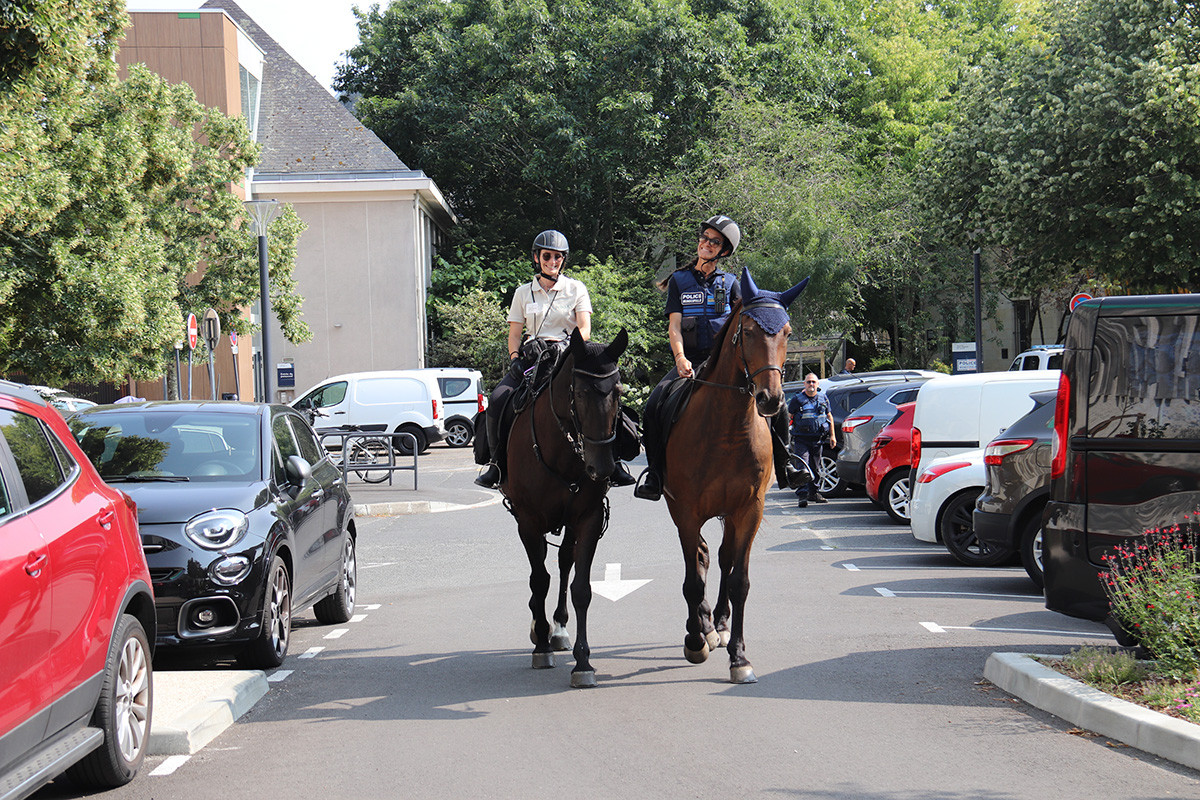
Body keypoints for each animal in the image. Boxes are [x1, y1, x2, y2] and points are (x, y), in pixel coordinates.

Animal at [499, 326, 628, 690]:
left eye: (618, 392)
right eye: (580, 393)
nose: (603, 467)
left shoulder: (588, 518)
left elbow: (581, 588)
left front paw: (583, 663)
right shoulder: (528, 520)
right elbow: (538, 580)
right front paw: (541, 645)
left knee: (563, 561)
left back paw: (558, 628)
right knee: (542, 569)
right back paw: (541, 630)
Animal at [662, 267, 801, 681]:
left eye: (787, 332)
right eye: (750, 331)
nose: (772, 399)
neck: (726, 428)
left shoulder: (749, 509)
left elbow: (739, 579)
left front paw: (739, 656)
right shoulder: (686, 510)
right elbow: (693, 580)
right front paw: (695, 641)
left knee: (722, 558)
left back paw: (719, 625)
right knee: (702, 558)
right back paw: (703, 627)